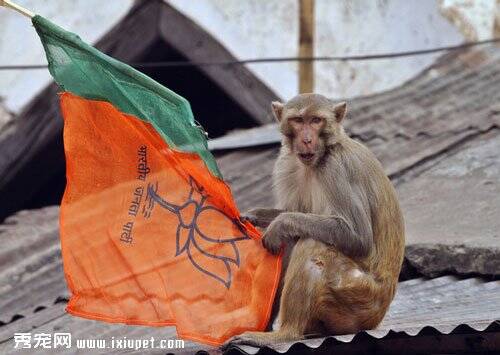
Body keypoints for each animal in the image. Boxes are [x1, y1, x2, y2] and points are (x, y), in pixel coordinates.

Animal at [227, 93, 406, 350]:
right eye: (298, 120)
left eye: (316, 120)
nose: (307, 139)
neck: (320, 157)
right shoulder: (287, 165)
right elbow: (296, 213)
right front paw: (254, 215)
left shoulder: (336, 170)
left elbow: (358, 236)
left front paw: (280, 224)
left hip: (359, 297)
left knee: (312, 243)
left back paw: (284, 334)